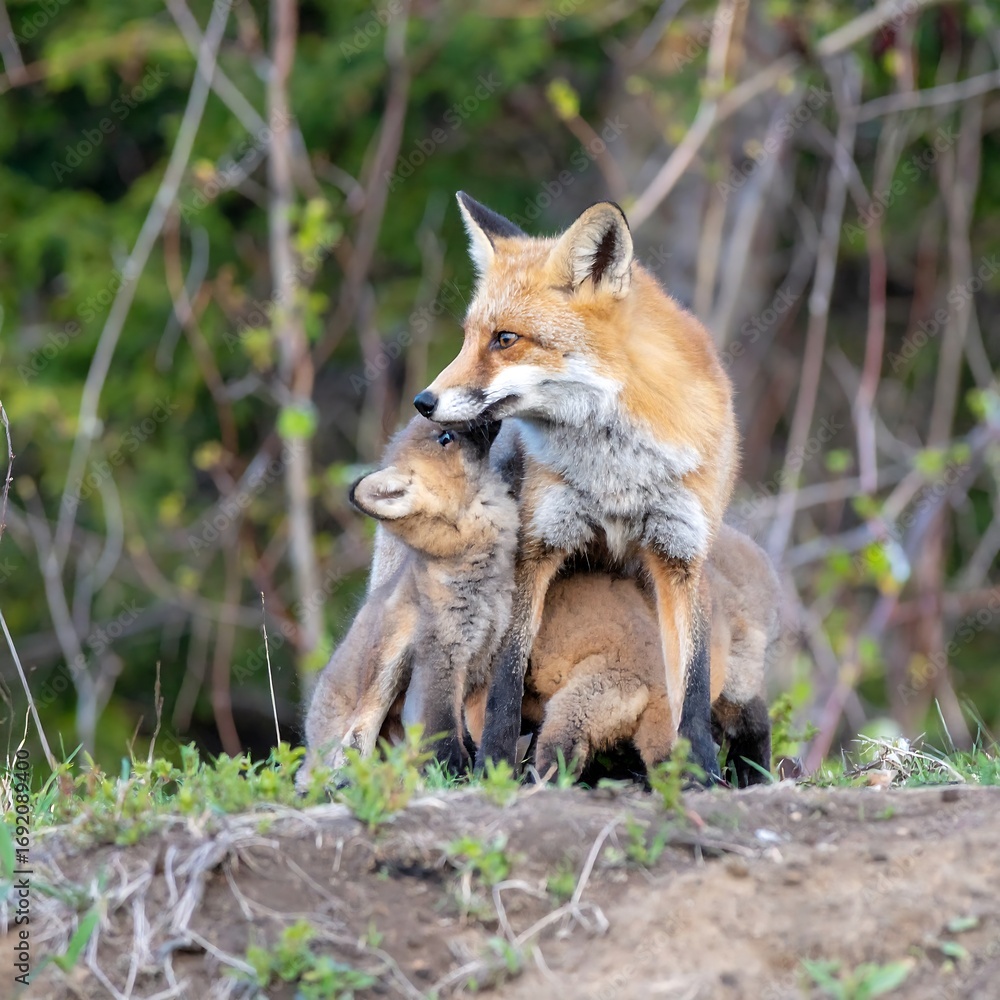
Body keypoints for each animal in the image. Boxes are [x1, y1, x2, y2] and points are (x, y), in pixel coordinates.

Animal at [298, 416, 516, 785]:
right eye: (445, 437)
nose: (492, 415)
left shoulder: (486, 664)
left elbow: (486, 732)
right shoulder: (439, 660)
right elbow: (444, 740)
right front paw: (454, 780)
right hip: (381, 676)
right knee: (347, 753)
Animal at [413, 193, 739, 779]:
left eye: (506, 339)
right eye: (469, 337)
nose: (423, 402)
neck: (617, 473)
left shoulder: (682, 553)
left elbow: (693, 681)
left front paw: (701, 772)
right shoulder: (537, 543)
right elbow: (506, 675)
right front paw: (495, 765)